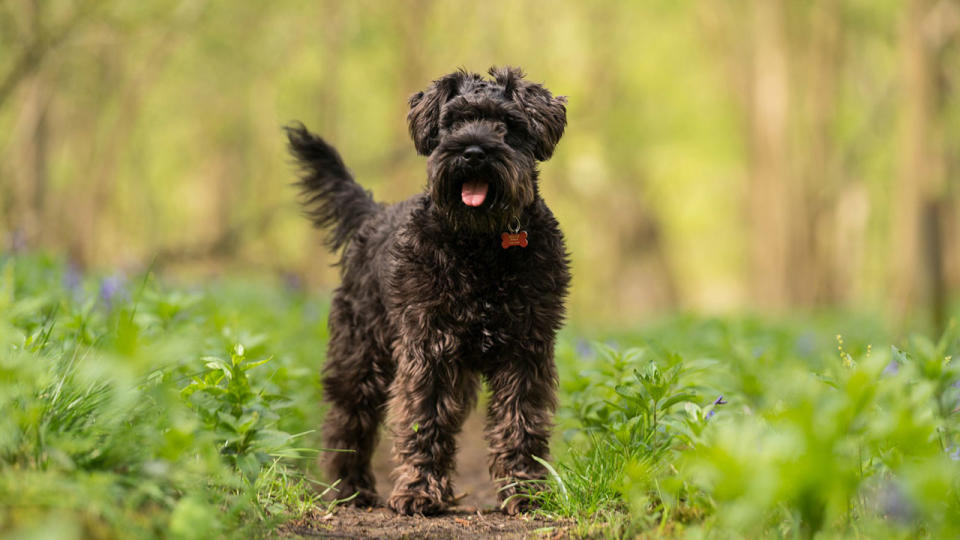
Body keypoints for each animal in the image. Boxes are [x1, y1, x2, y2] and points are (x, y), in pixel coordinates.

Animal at [284, 66, 568, 516]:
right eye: (452, 122)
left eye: (506, 125)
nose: (472, 152)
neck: (481, 245)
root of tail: (374, 215)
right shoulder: (428, 346)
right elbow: (424, 419)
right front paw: (419, 491)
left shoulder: (527, 350)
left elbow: (520, 422)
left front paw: (526, 491)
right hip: (360, 355)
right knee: (348, 422)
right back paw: (351, 489)